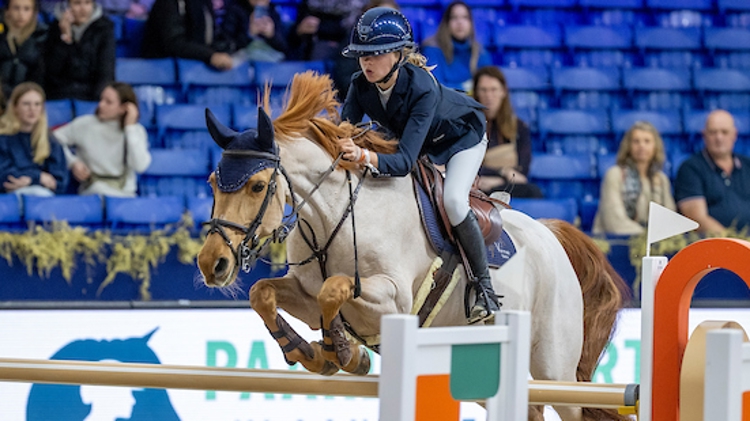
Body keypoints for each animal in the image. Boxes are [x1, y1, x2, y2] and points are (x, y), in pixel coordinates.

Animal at [197, 73, 632, 420]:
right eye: (212, 183)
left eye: (257, 186)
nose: (210, 263)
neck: (331, 214)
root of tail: (549, 234)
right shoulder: (302, 293)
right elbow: (264, 293)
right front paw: (311, 353)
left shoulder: (393, 300)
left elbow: (334, 288)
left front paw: (343, 353)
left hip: (554, 368)